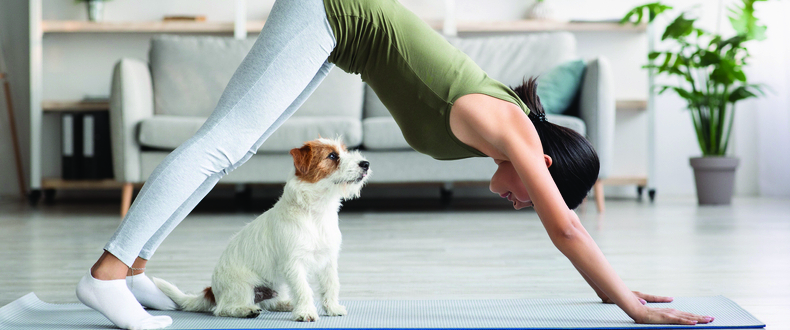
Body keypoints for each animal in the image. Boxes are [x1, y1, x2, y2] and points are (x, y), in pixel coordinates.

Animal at [158, 138, 374, 320]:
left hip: (277, 285)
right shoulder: (294, 263)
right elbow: (303, 289)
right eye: (332, 156)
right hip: (243, 285)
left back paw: (286, 304)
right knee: (223, 309)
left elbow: (331, 285)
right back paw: (247, 310)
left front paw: (332, 308)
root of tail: (212, 290)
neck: (315, 212)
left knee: (270, 302)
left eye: (345, 151)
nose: (366, 163)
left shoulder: (328, 260)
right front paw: (306, 312)